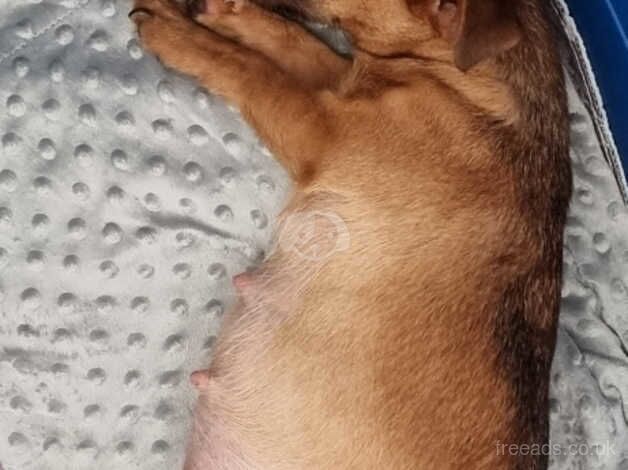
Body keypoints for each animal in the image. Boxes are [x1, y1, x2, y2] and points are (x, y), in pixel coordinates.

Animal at [131, 0, 568, 468]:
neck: (460, 76)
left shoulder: (318, 122)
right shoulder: (344, 80)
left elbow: (251, 70)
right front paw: (231, 16)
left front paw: (181, 37)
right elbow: (293, 40)